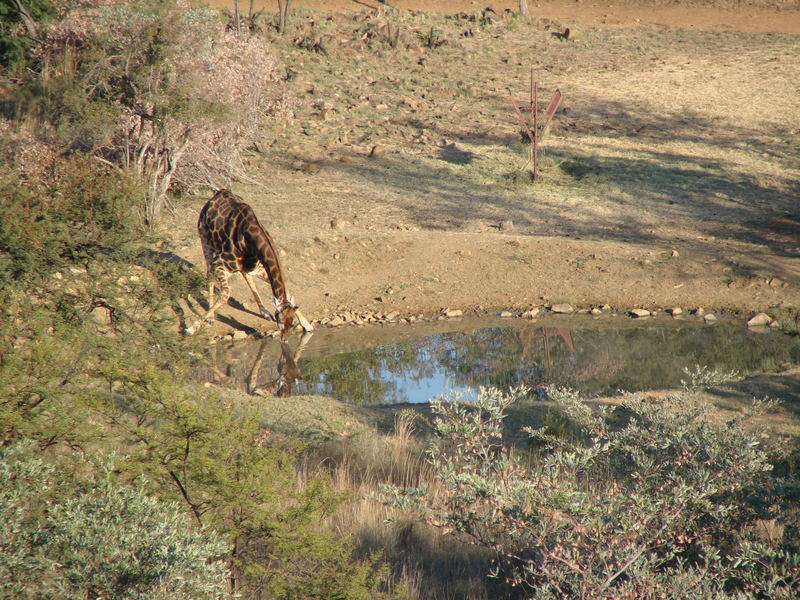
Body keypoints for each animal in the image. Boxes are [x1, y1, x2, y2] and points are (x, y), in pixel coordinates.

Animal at [186, 189, 314, 338]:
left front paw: (307, 325)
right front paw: (191, 329)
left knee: (244, 277)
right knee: (209, 275)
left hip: (242, 266)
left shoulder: (259, 268)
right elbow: (225, 294)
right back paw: (211, 318)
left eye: (292, 321)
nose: (284, 338)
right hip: (205, 241)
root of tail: (218, 193)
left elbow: (286, 292)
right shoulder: (220, 263)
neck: (251, 241)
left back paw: (264, 312)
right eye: (280, 320)